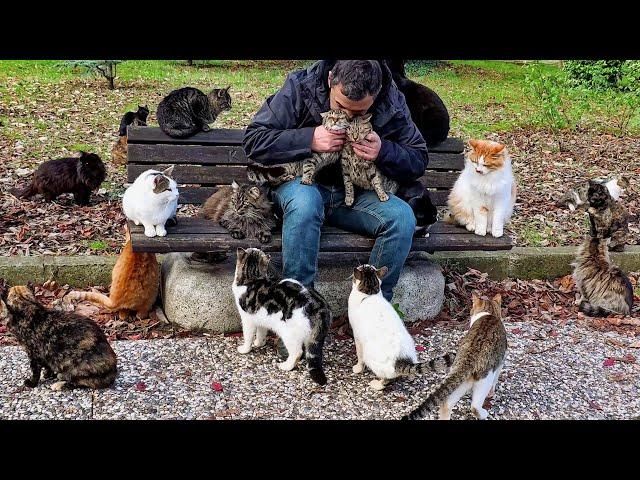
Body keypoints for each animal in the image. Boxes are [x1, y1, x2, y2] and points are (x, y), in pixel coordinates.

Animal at [348, 264, 452, 392]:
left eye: (361, 266)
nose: (359, 265)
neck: (369, 294)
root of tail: (403, 359)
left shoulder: (357, 336)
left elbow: (359, 356)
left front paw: (358, 368)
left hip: (371, 356)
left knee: (386, 379)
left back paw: (377, 384)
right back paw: (410, 375)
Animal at [402, 292, 508, 420]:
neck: (489, 314)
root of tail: (467, 360)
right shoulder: (501, 360)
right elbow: (497, 377)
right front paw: (492, 392)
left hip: (461, 381)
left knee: (446, 404)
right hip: (485, 378)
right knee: (475, 406)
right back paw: (483, 413)